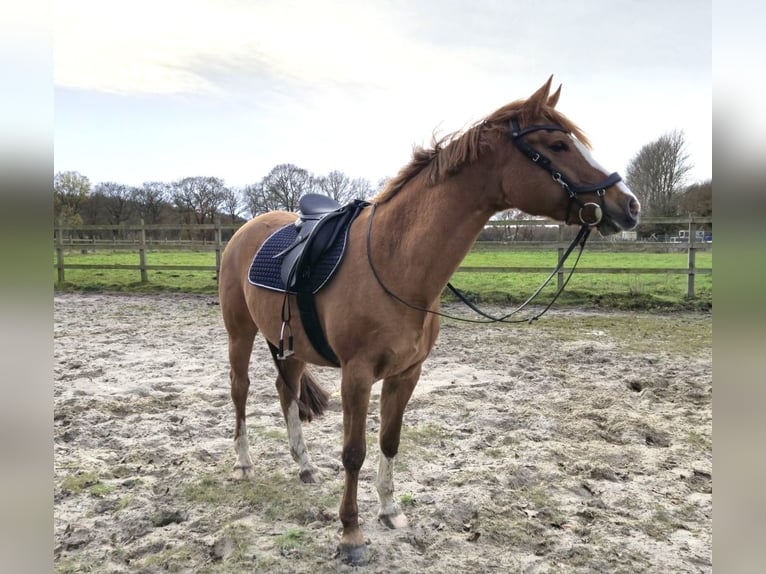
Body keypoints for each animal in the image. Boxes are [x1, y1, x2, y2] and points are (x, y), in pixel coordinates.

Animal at [218, 77, 640, 568]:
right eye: (557, 145)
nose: (629, 205)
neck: (393, 259)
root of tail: (248, 229)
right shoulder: (357, 376)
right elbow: (354, 452)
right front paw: (351, 535)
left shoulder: (407, 373)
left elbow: (389, 441)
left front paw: (390, 511)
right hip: (240, 334)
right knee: (241, 391)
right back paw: (244, 463)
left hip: (291, 344)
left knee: (286, 390)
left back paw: (303, 465)